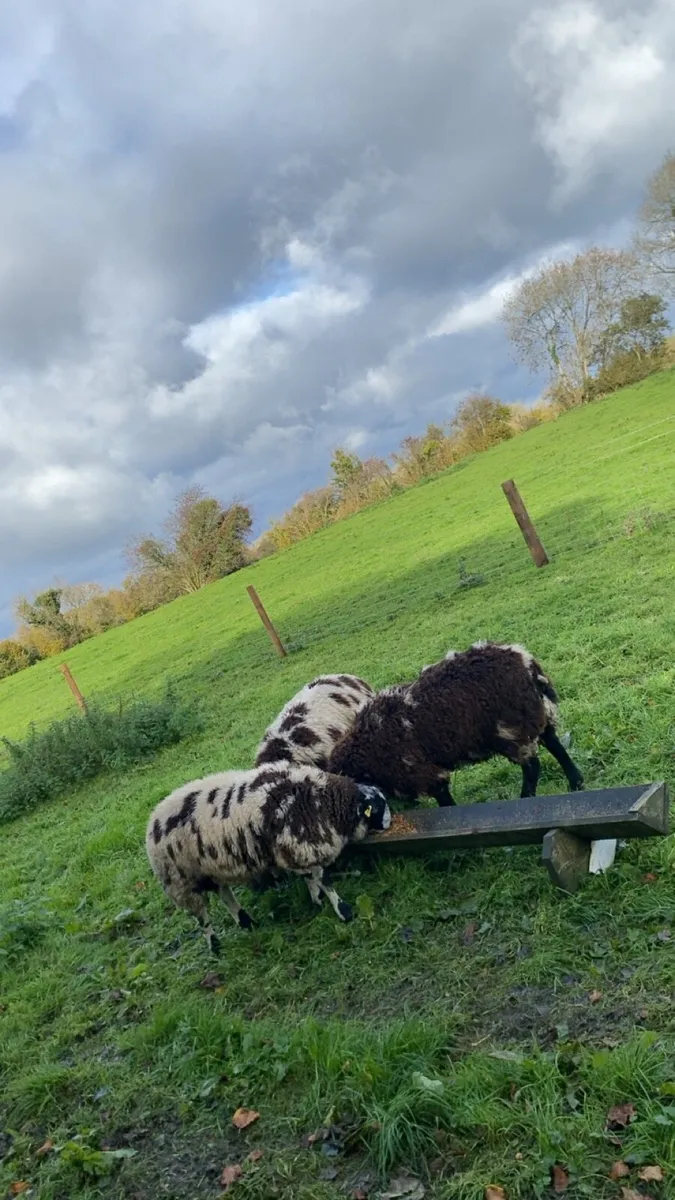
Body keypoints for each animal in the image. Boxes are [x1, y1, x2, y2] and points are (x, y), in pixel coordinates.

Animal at [146, 764, 390, 953]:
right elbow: (325, 879)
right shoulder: (302, 845)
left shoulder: (298, 849)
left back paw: (247, 923)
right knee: (202, 917)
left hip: (209, 869)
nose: (390, 823)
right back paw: (215, 946)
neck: (323, 800)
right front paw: (344, 911)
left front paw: (317, 900)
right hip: (181, 881)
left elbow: (311, 877)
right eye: (378, 806)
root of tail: (152, 821)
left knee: (225, 894)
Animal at [327, 641, 584, 807]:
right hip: (534, 713)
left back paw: (526, 798)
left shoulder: (421, 772)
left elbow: (444, 799)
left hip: (510, 728)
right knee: (554, 742)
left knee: (532, 765)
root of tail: (526, 662)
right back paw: (576, 783)